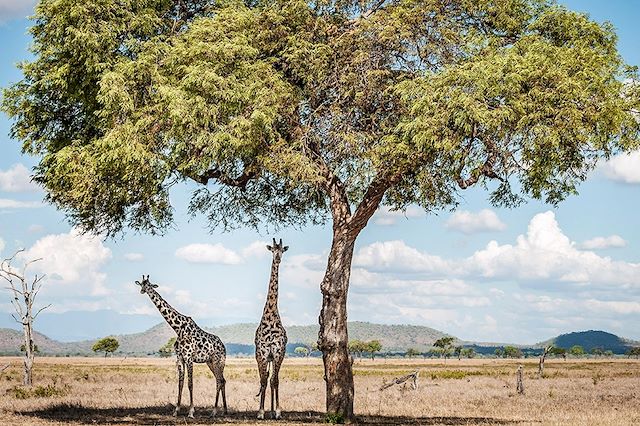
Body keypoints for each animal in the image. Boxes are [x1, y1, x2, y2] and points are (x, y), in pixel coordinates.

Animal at [135, 274, 228, 418]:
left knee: (219, 381)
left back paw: (214, 411)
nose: (142, 291)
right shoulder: (179, 358)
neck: (178, 328)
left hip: (218, 361)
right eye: (141, 284)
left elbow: (190, 384)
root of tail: (223, 346)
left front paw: (191, 412)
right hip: (210, 362)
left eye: (149, 285)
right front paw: (176, 410)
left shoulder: (189, 358)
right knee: (221, 380)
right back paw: (223, 410)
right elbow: (180, 384)